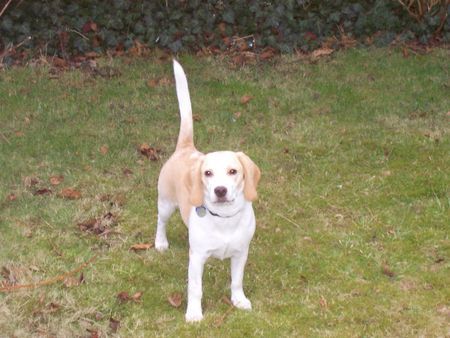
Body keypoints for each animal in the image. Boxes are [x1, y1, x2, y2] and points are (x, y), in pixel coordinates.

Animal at [155, 60, 260, 322]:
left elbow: (237, 281)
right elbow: (195, 288)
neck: (224, 219)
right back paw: (160, 243)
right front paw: (194, 314)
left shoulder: (241, 253)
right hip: (165, 203)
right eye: (208, 173)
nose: (220, 190)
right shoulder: (197, 258)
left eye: (233, 171)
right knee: (161, 222)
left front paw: (238, 300)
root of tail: (185, 148)